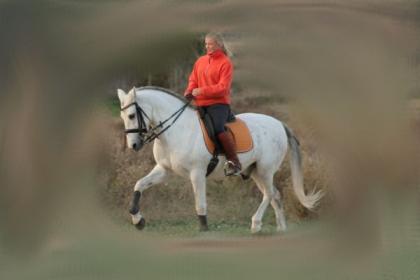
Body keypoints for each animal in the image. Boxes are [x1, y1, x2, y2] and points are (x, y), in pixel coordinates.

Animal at [116, 86, 324, 233]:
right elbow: (139, 185)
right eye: (123, 116)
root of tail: (279, 123)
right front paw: (138, 220)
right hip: (256, 171)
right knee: (275, 196)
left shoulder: (197, 173)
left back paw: (256, 224)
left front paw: (204, 228)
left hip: (265, 169)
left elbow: (200, 203)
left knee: (269, 194)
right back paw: (281, 229)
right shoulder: (163, 170)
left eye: (132, 115)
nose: (133, 145)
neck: (176, 130)